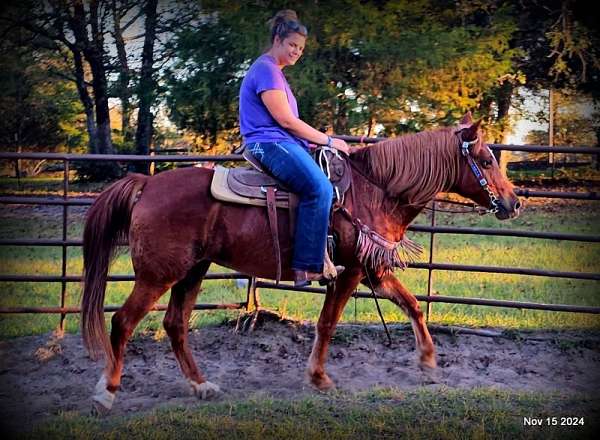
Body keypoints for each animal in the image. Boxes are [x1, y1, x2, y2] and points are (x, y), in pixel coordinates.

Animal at [81, 113, 520, 412]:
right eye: (487, 160)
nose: (514, 203)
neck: (375, 191)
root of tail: (147, 183)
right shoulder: (351, 272)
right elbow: (328, 323)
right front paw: (319, 378)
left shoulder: (374, 271)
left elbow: (413, 305)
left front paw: (428, 362)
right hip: (159, 274)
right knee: (123, 322)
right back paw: (106, 392)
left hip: (193, 270)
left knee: (175, 324)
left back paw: (201, 385)